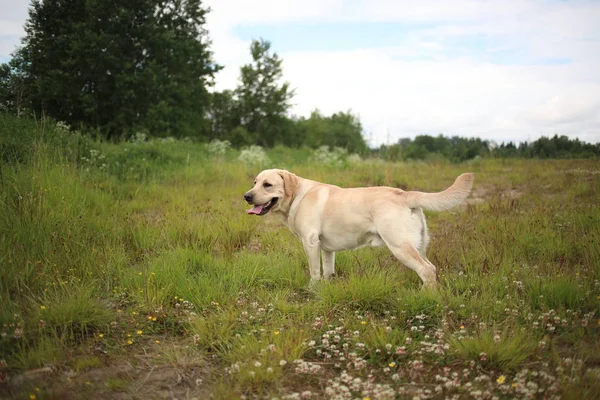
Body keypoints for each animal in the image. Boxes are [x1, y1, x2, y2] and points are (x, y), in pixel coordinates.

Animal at [244, 169, 474, 288]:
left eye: (267, 185)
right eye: (254, 182)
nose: (246, 196)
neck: (298, 196)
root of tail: (405, 194)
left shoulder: (310, 243)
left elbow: (314, 272)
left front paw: (311, 290)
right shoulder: (326, 248)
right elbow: (328, 271)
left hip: (400, 247)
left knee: (426, 270)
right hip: (418, 247)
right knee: (431, 268)